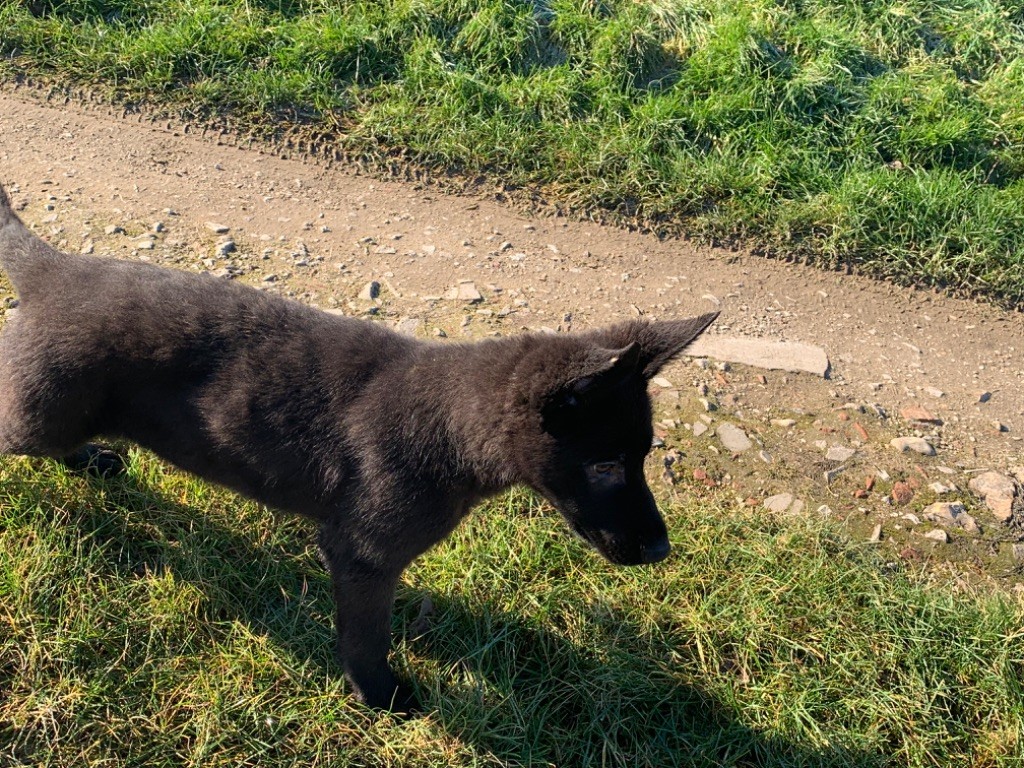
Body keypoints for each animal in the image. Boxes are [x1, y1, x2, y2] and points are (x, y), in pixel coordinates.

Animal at [0, 183, 720, 712]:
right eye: (604, 463)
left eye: (644, 457)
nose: (662, 550)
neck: (452, 428)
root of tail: (54, 269)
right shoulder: (364, 555)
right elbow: (368, 636)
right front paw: (381, 696)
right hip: (39, 411)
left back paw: (91, 460)